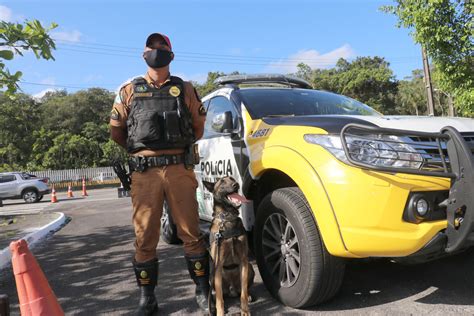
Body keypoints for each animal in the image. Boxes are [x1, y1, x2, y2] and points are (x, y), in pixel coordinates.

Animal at [204, 178, 256, 316]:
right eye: (222, 182)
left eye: (232, 179)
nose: (236, 184)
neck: (228, 219)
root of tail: (232, 289)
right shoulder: (218, 264)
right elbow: (219, 298)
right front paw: (220, 312)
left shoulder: (244, 261)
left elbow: (243, 294)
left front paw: (245, 310)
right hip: (212, 276)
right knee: (219, 294)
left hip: (250, 268)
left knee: (243, 290)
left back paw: (249, 295)